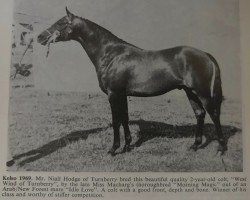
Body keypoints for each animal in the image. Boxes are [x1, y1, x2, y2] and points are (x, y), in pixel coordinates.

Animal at [37, 7, 227, 155]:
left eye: (61, 23)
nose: (40, 37)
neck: (111, 54)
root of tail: (206, 55)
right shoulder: (122, 94)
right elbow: (125, 118)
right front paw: (127, 146)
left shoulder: (113, 94)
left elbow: (116, 120)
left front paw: (114, 149)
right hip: (190, 92)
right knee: (200, 114)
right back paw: (195, 146)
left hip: (203, 93)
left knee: (214, 114)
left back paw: (221, 149)